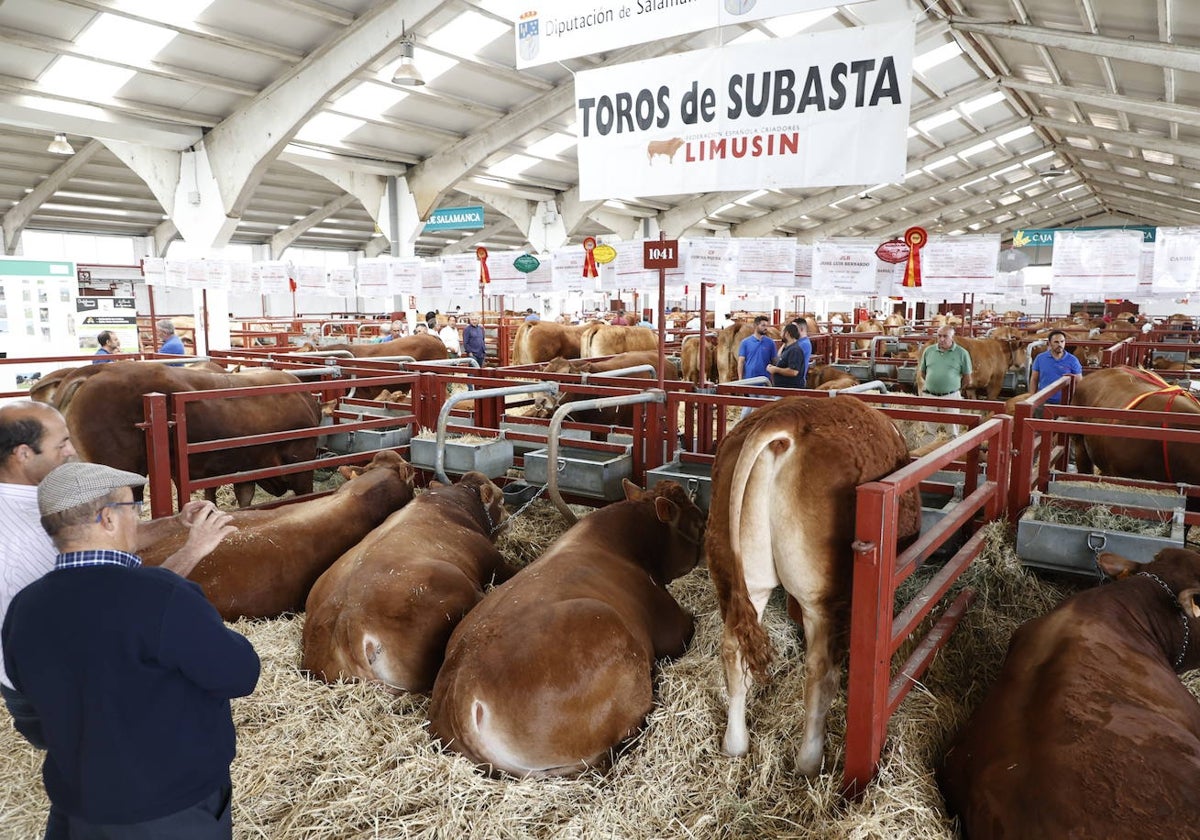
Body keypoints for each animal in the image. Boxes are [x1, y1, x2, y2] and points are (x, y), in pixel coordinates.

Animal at [710, 396, 916, 777]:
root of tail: (783, 420)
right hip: (820, 597)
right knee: (818, 669)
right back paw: (809, 758)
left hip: (743, 576)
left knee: (733, 648)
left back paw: (735, 743)